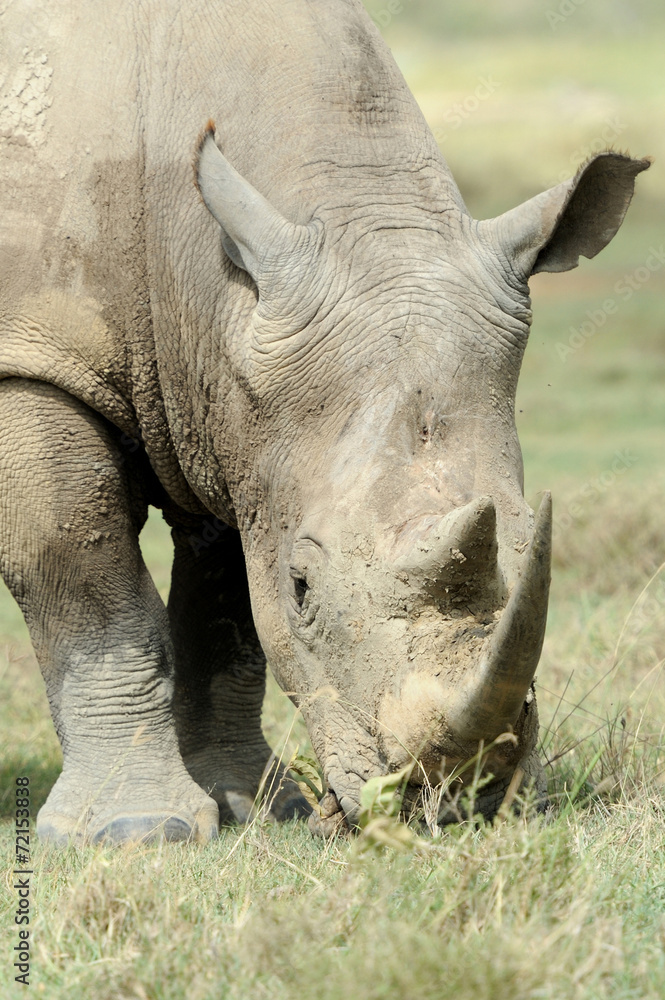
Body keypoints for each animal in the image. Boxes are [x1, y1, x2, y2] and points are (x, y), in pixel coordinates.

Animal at [0, 0, 648, 843]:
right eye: (304, 587)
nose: (456, 805)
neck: (211, 277)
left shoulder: (231, 407)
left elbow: (230, 606)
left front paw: (259, 806)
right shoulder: (32, 354)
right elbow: (86, 578)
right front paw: (137, 832)